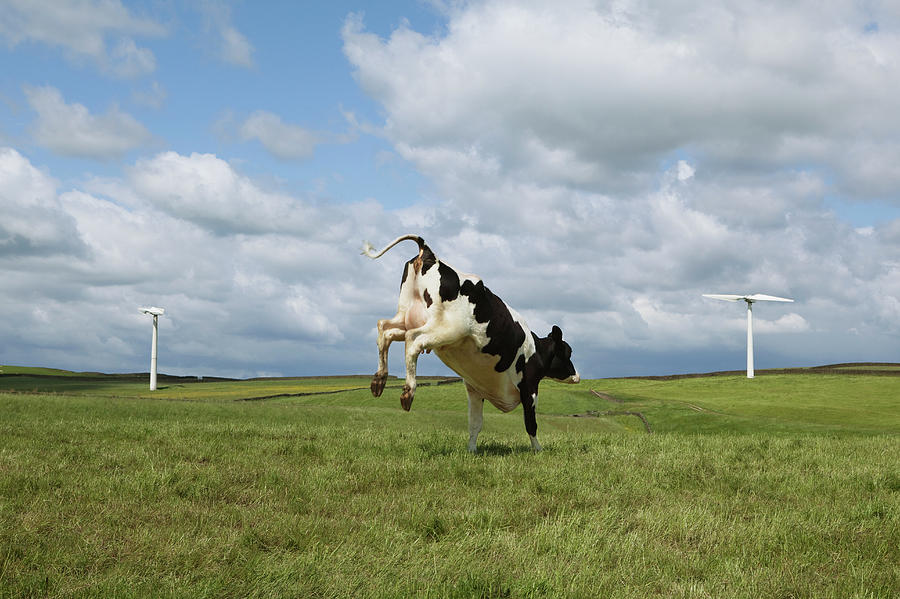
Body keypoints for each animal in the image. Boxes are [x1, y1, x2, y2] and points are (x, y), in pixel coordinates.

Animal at [362, 234, 580, 450]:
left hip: (405, 316)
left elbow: (475, 423)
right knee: (413, 340)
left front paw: (472, 450)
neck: (535, 351)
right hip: (446, 328)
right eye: (568, 352)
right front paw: (538, 450)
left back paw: (378, 381)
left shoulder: (475, 389)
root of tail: (431, 255)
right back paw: (408, 393)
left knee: (385, 330)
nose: (577, 375)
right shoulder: (529, 388)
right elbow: (531, 424)